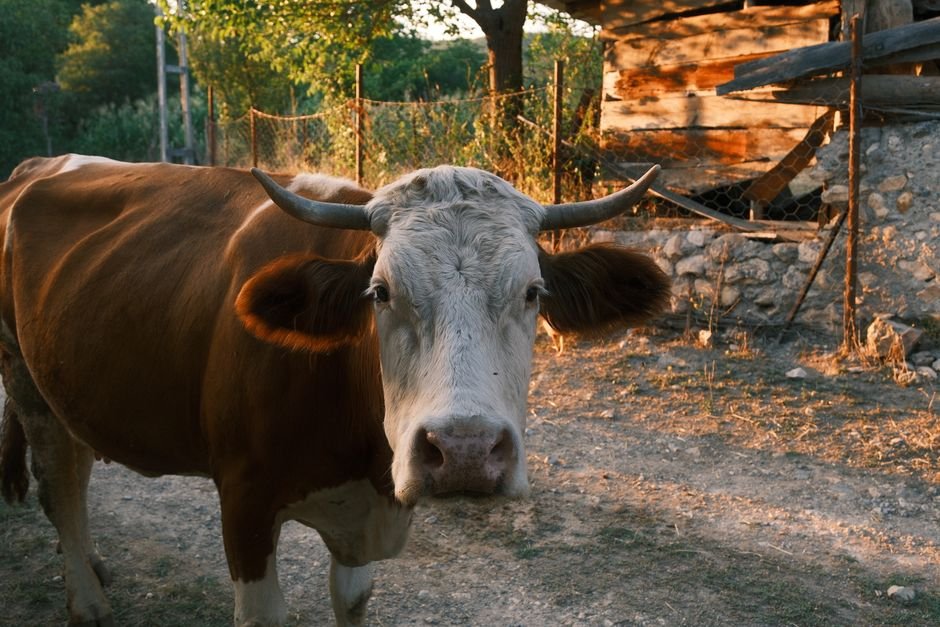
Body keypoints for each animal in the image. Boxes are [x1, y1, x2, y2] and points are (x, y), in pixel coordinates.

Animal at [0, 154, 670, 626]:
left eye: (533, 292)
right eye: (380, 292)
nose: (465, 452)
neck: (363, 461)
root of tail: (38, 166)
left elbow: (353, 598)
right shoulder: (243, 501)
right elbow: (264, 614)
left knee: (77, 473)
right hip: (24, 380)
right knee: (59, 487)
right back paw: (87, 602)